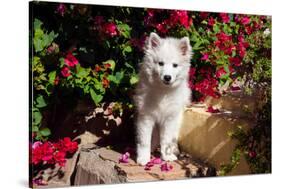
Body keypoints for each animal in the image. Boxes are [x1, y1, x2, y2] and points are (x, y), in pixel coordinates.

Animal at [134, 32, 191, 165]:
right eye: (160, 63)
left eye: (175, 65)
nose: (167, 77)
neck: (163, 91)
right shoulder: (146, 117)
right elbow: (144, 141)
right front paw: (143, 158)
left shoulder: (169, 119)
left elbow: (166, 140)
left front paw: (166, 156)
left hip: (177, 119)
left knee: (173, 138)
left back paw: (174, 149)